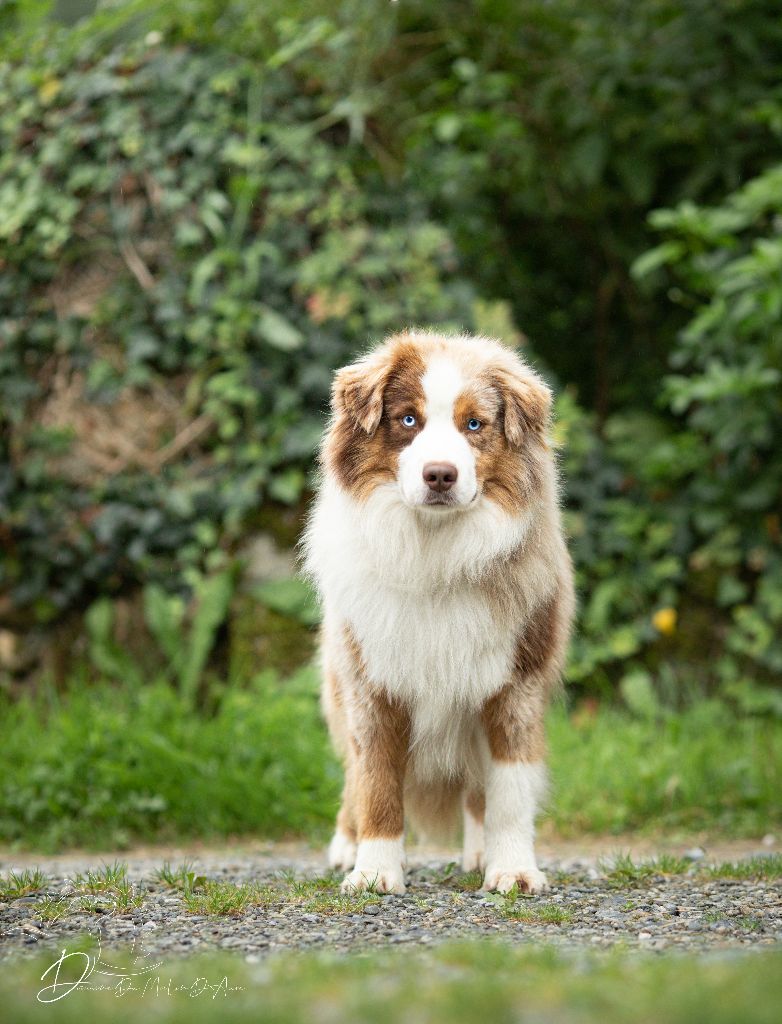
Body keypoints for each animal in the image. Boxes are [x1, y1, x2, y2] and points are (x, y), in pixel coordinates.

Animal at [302, 331, 573, 892]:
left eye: (474, 424)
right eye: (408, 419)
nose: (440, 475)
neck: (435, 551)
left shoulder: (515, 682)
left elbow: (509, 789)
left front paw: (512, 869)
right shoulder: (371, 681)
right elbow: (376, 781)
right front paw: (373, 871)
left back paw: (479, 851)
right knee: (352, 776)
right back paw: (346, 844)